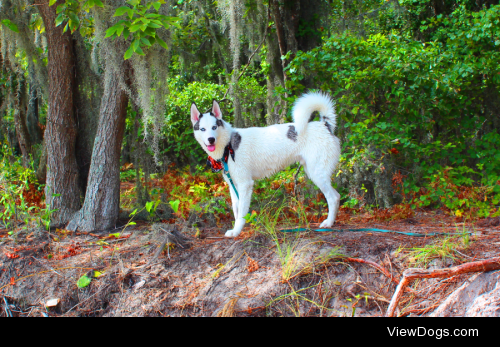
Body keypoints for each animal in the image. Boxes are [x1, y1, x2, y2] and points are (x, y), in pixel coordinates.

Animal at [189, 92, 342, 238]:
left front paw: (237, 231)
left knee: (333, 198)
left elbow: (242, 213)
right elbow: (236, 210)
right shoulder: (234, 186)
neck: (229, 145)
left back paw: (328, 222)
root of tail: (324, 125)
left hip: (317, 174)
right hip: (312, 172)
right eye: (202, 129)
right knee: (337, 195)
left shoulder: (245, 185)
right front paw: (236, 229)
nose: (211, 139)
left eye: (214, 127)